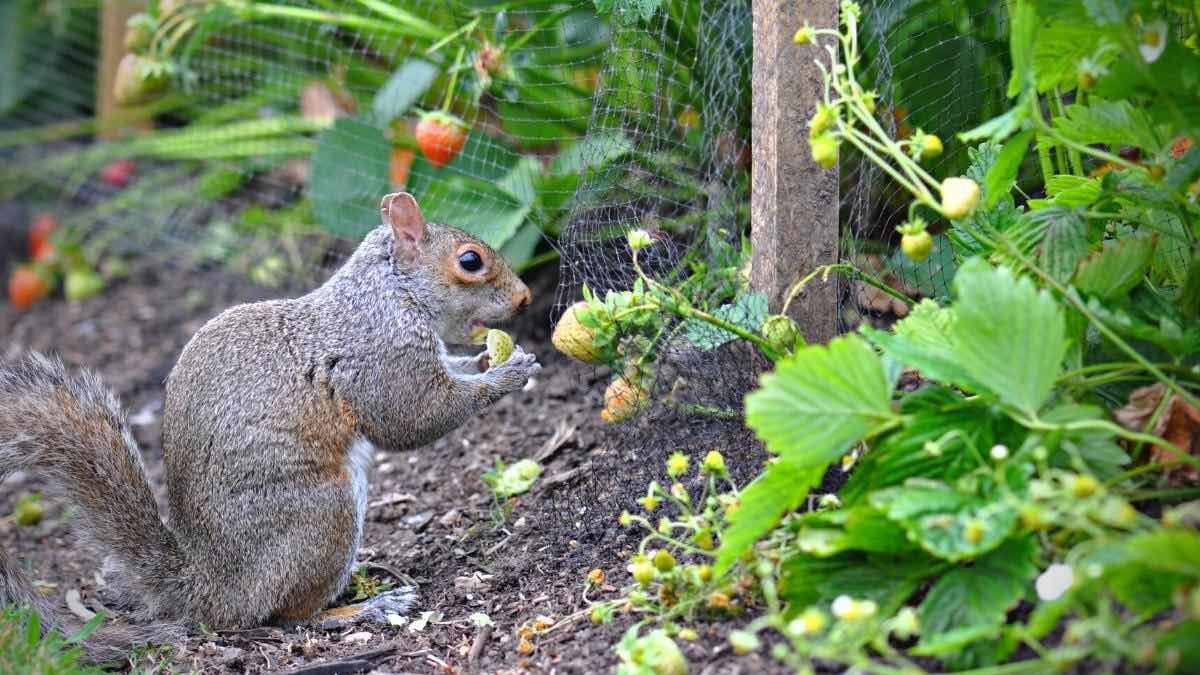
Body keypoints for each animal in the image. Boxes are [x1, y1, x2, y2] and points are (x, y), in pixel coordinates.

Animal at [0, 189, 540, 658]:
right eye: (470, 261)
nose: (526, 299)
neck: (390, 292)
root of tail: (210, 589)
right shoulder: (381, 355)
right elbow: (413, 419)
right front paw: (506, 375)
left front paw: (491, 360)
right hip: (323, 514)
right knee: (288, 615)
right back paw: (362, 608)